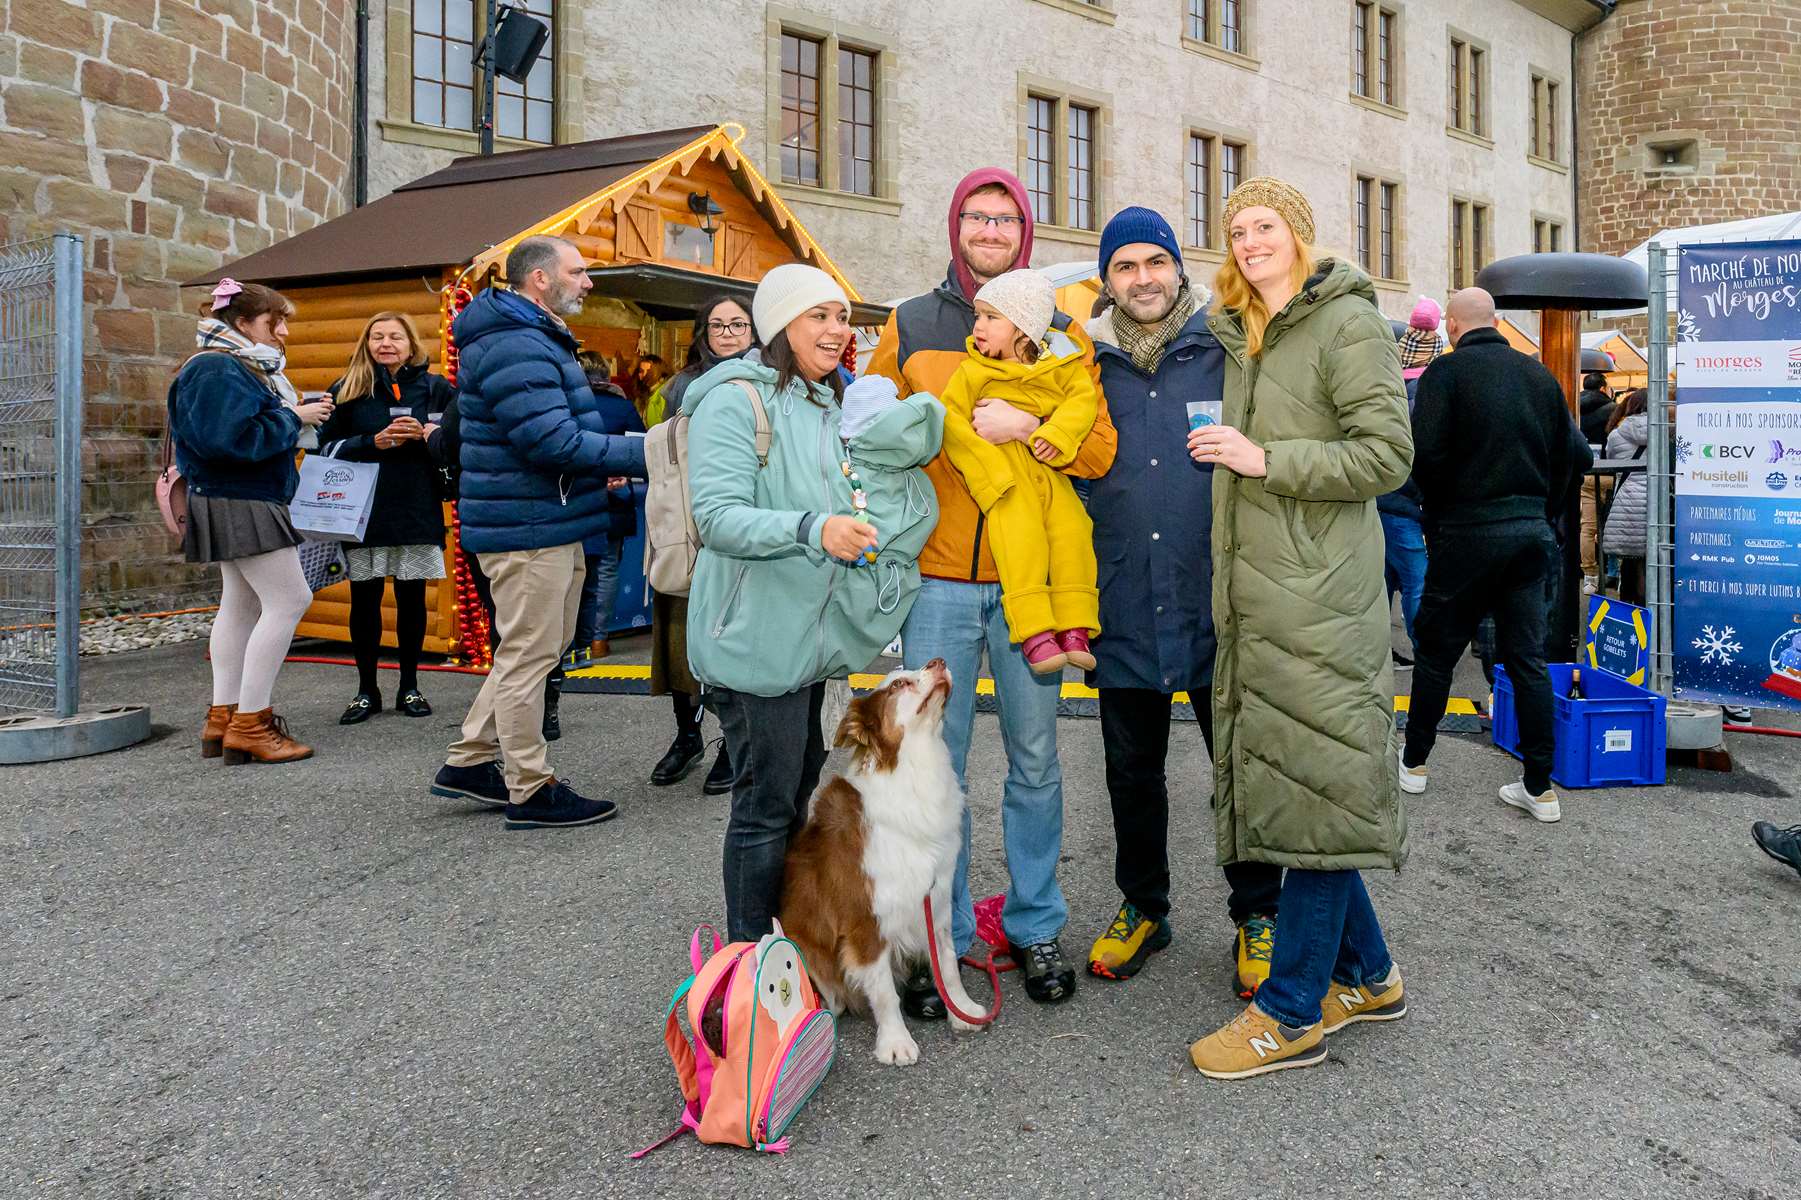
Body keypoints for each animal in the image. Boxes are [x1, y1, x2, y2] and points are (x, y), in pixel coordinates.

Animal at [774, 659, 986, 1059]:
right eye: (897, 685)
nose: (939, 662)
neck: (913, 770)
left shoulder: (936, 899)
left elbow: (948, 963)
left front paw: (961, 1010)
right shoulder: (865, 921)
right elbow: (885, 991)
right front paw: (896, 1042)